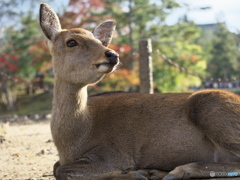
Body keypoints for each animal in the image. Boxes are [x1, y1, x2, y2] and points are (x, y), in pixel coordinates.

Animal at [39, 3, 240, 180]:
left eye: (98, 41)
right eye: (71, 42)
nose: (112, 54)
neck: (72, 142)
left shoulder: (113, 153)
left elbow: (62, 170)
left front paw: (132, 173)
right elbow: (57, 166)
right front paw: (140, 172)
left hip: (208, 105)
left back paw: (180, 171)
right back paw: (157, 172)